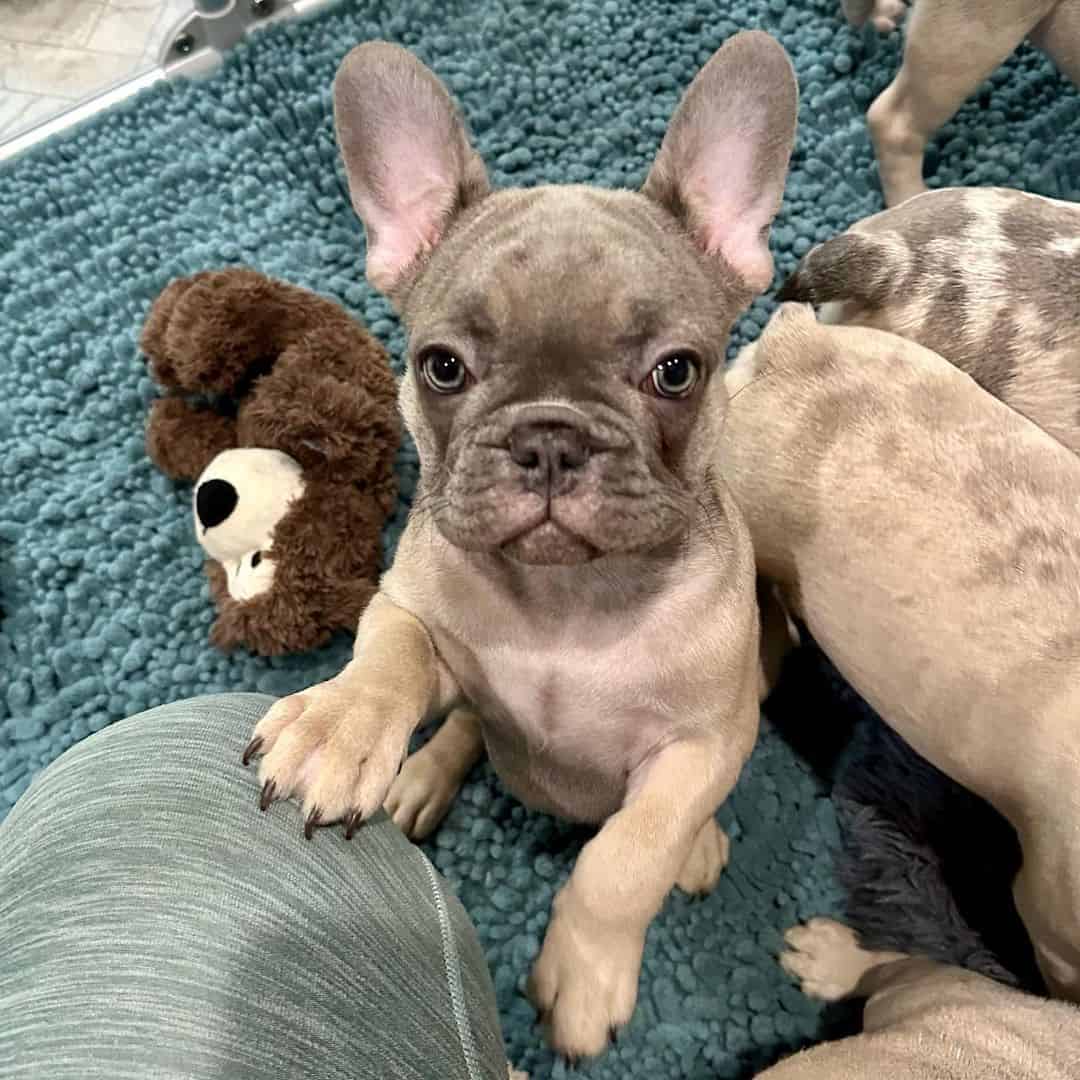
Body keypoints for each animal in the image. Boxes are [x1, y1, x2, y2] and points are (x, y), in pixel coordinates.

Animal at [245, 31, 799, 1054]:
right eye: (442, 367)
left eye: (676, 372)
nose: (549, 436)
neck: (563, 607)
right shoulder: (407, 607)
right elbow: (391, 654)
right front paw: (341, 723)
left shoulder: (702, 745)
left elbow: (627, 856)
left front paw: (582, 976)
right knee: (466, 721)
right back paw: (418, 776)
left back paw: (699, 846)